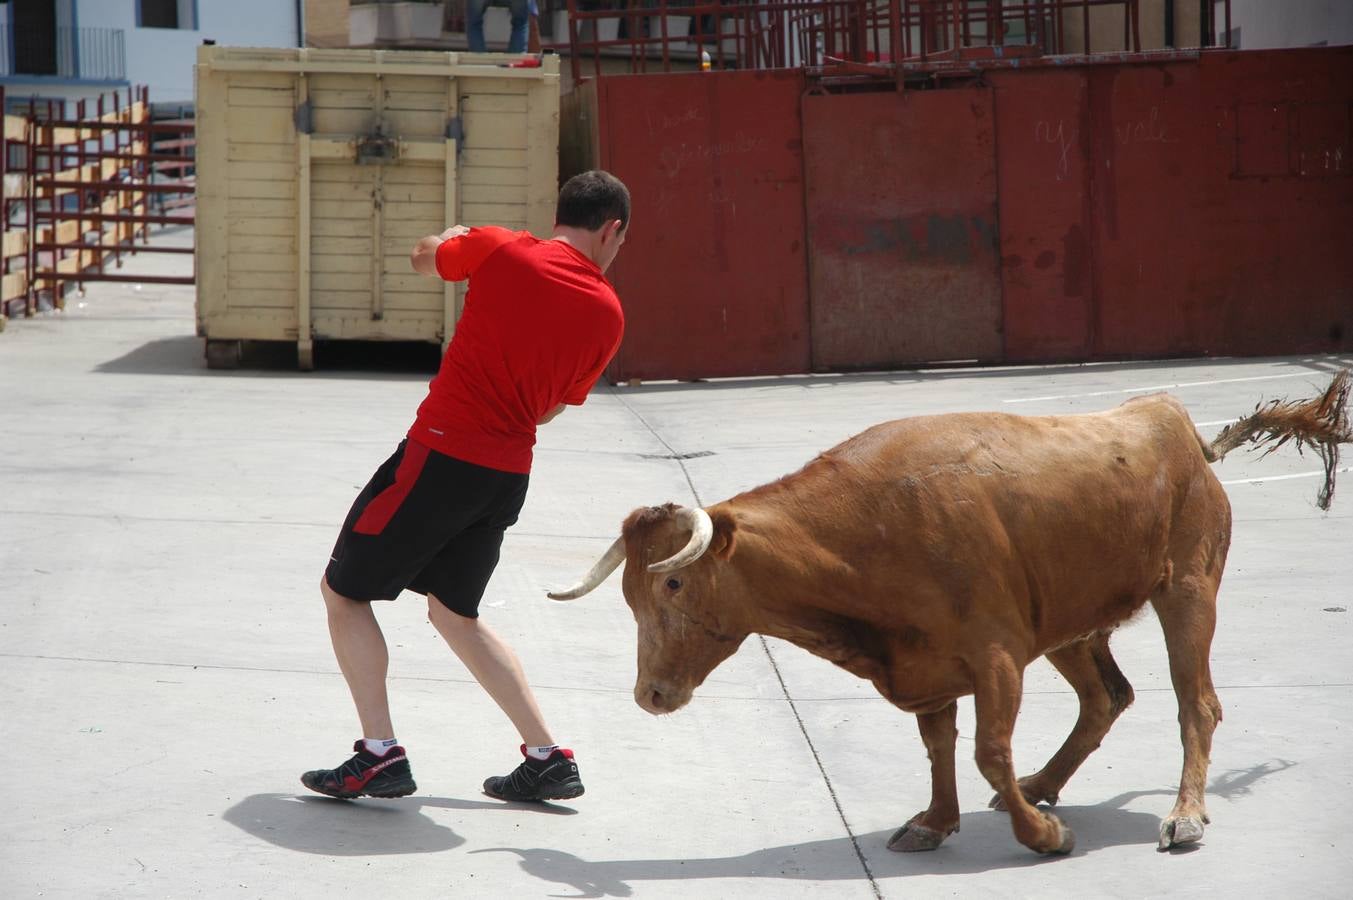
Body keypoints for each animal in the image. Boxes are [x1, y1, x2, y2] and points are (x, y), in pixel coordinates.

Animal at [552, 368, 1353, 855]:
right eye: (628, 596)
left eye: (673, 587)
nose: (650, 694)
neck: (866, 533)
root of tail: (1176, 427)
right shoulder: (926, 662)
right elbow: (940, 747)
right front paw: (936, 823)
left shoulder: (995, 656)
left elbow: (986, 751)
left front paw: (1043, 838)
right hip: (1067, 622)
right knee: (1106, 696)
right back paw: (1044, 785)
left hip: (1187, 591)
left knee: (1196, 703)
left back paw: (1181, 816)